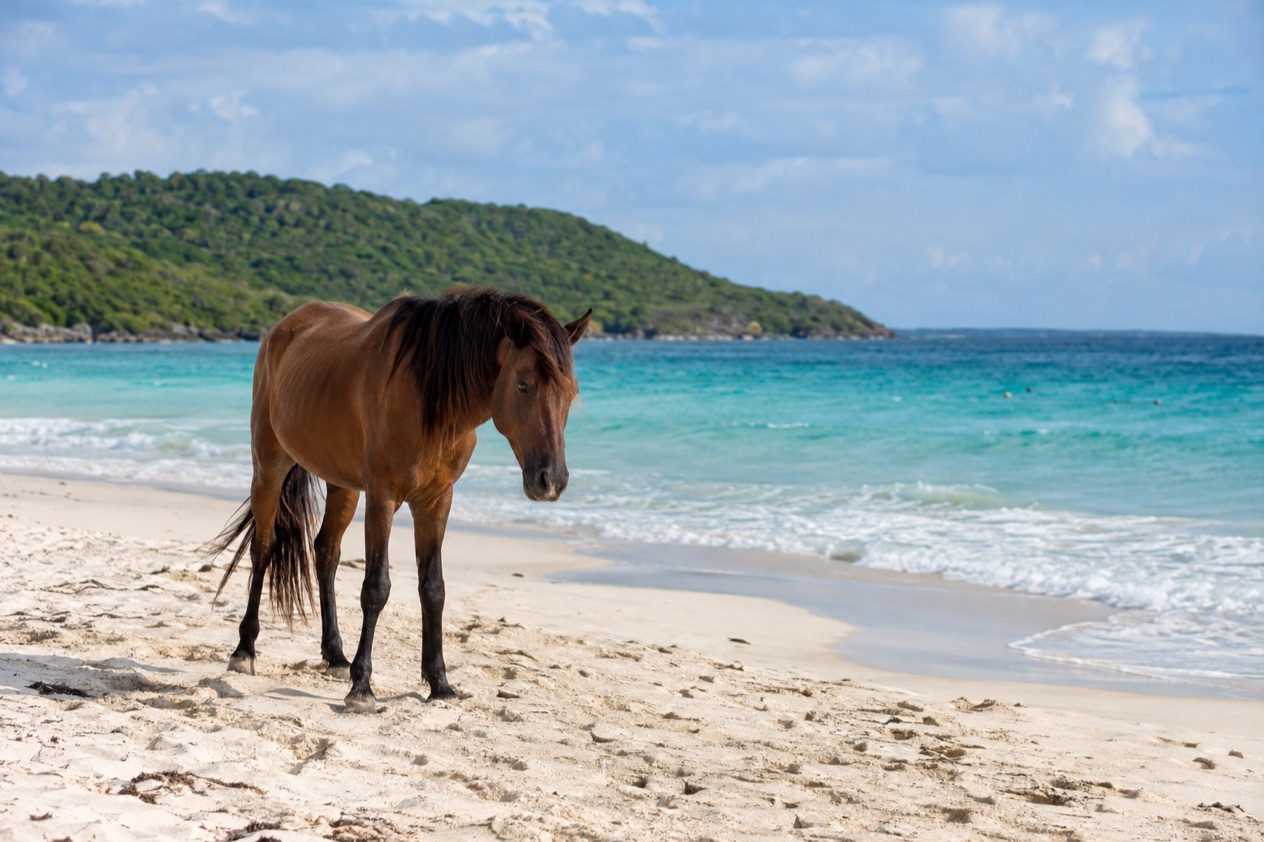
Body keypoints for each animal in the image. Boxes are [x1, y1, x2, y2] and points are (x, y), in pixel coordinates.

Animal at [205, 286, 591, 712]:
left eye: (571, 393)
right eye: (523, 385)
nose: (551, 480)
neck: (431, 401)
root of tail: (284, 327)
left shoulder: (436, 501)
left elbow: (433, 589)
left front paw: (439, 683)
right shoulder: (383, 497)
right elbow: (376, 588)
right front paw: (362, 688)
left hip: (343, 485)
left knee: (326, 553)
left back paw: (335, 656)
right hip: (269, 466)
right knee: (263, 548)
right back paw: (245, 650)